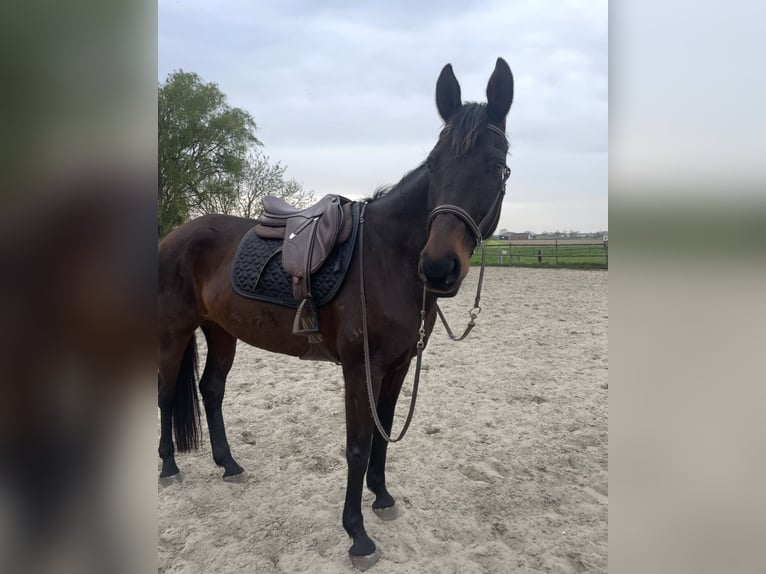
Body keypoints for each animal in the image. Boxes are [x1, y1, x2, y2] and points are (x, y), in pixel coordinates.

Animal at [158, 58, 514, 563]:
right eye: (434, 164)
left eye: (495, 166)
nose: (438, 267)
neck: (387, 256)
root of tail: (174, 236)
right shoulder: (359, 367)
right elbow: (358, 444)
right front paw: (357, 534)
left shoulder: (398, 365)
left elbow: (383, 432)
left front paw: (382, 498)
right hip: (173, 331)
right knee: (167, 393)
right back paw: (169, 467)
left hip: (221, 331)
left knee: (211, 390)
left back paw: (228, 464)